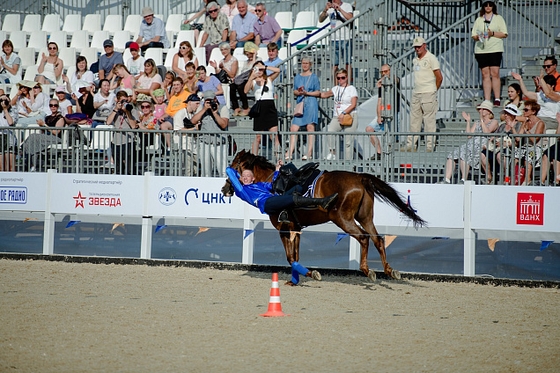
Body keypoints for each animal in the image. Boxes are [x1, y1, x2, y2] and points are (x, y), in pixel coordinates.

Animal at [221, 150, 426, 284]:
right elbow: (295, 256)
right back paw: (389, 271)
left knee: (363, 238)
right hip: (365, 218)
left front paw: (307, 275)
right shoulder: (296, 228)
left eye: (233, 166)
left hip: (343, 219)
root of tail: (360, 177)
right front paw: (298, 279)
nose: (224, 188)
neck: (271, 183)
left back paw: (368, 271)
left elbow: (290, 257)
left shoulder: (284, 229)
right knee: (378, 240)